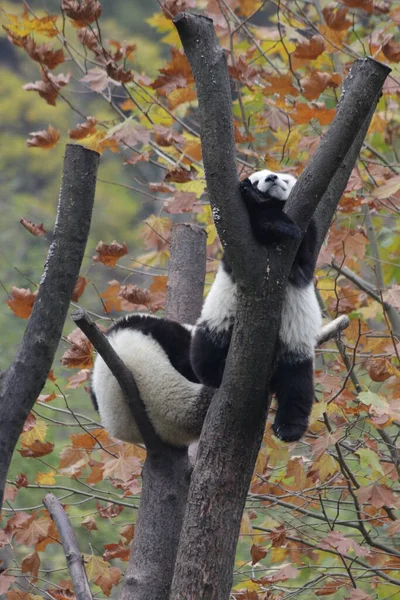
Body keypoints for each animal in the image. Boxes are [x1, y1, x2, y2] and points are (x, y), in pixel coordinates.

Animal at [191, 171, 322, 442]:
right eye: (256, 178)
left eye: (284, 178)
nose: (271, 178)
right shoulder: (240, 239)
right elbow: (259, 223)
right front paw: (259, 203)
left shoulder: (309, 237)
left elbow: (305, 248)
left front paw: (285, 225)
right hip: (219, 321)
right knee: (205, 349)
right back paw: (217, 370)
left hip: (295, 346)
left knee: (297, 384)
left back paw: (288, 428)